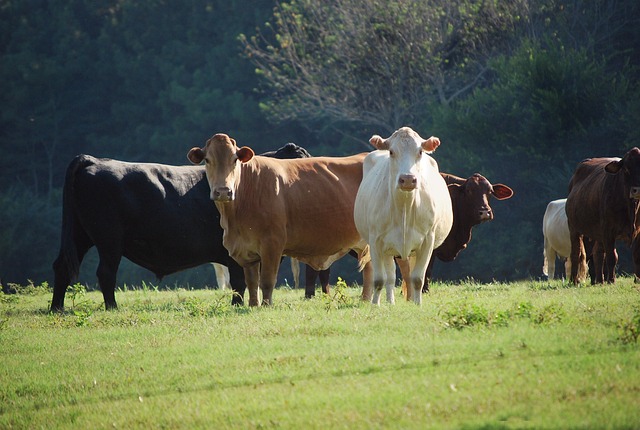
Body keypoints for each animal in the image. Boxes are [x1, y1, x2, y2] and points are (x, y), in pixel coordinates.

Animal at [50, 143, 310, 310]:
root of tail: (94, 160)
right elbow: (239, 282)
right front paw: (237, 306)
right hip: (109, 239)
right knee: (105, 272)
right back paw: (112, 307)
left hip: (80, 234)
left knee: (62, 267)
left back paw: (57, 308)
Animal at [188, 134, 370, 306]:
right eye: (207, 160)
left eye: (235, 160)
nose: (224, 191)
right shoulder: (246, 250)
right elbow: (252, 282)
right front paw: (253, 305)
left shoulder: (272, 243)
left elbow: (267, 281)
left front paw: (266, 305)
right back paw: (366, 299)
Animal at [352, 126, 452, 304]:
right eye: (392, 152)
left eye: (420, 151)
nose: (408, 179)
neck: (404, 206)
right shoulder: (376, 241)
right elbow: (379, 279)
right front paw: (375, 305)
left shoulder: (428, 241)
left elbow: (418, 278)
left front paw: (418, 305)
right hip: (386, 249)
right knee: (390, 277)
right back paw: (390, 302)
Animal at [564, 149, 640, 286]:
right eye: (626, 169)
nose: (637, 190)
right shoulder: (608, 230)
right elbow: (612, 256)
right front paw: (612, 280)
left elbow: (636, 254)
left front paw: (637, 279)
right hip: (574, 228)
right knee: (576, 253)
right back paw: (574, 280)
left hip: (597, 232)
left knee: (597, 253)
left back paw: (599, 280)